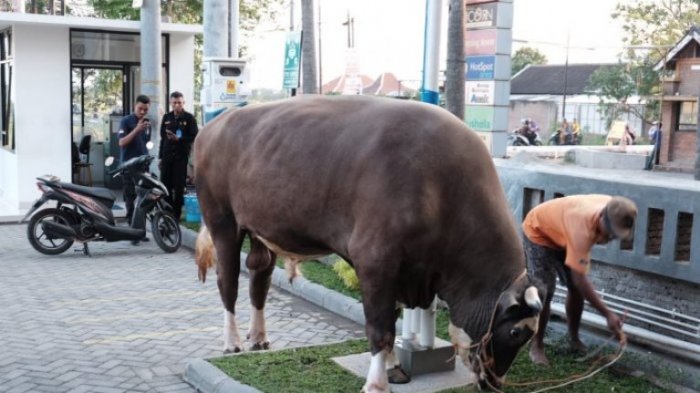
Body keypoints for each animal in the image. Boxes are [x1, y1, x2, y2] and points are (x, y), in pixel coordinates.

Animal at [194, 95, 544, 392]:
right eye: (516, 331)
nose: (494, 383)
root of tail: (214, 123)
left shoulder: (405, 271)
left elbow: (392, 317)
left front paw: (393, 366)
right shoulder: (377, 261)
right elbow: (380, 326)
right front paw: (377, 382)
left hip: (261, 229)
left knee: (259, 275)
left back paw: (259, 336)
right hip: (222, 219)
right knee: (228, 281)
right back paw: (232, 341)